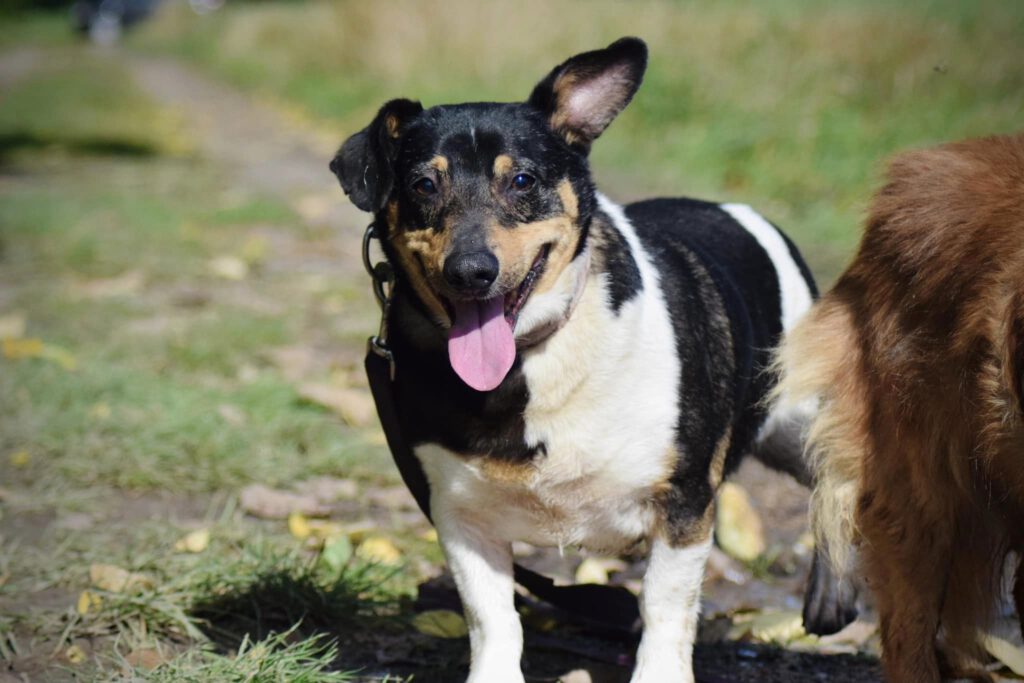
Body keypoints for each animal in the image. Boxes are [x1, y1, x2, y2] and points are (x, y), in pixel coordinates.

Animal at [331, 37, 851, 683]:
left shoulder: (684, 503)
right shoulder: (459, 515)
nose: (471, 271)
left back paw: (835, 592)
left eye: (522, 180)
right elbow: (491, 616)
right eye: (424, 185)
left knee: (841, 477)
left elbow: (663, 607)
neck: (532, 360)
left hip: (795, 419)